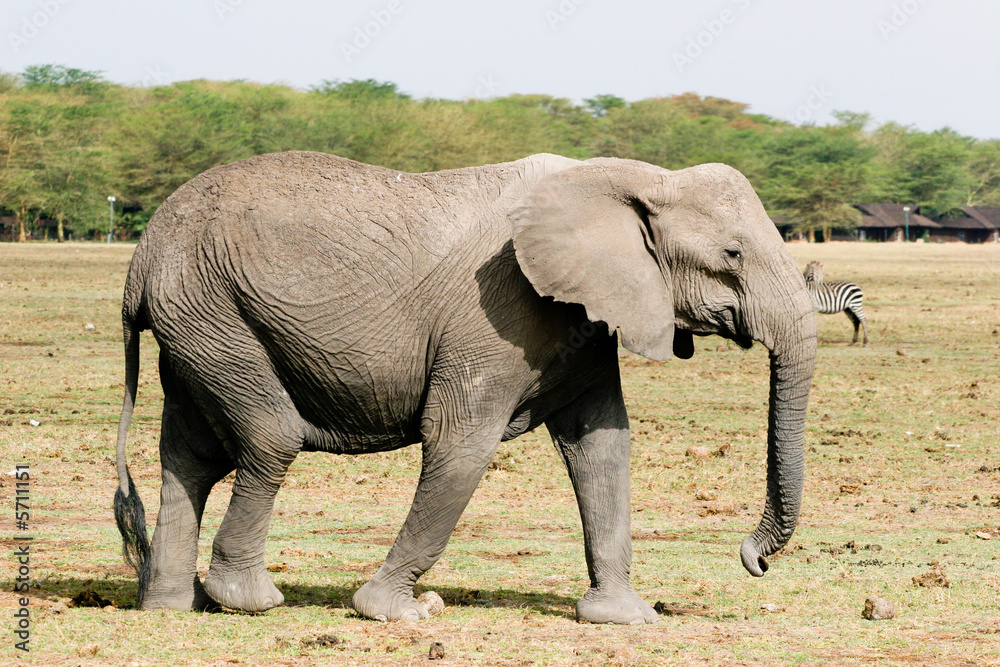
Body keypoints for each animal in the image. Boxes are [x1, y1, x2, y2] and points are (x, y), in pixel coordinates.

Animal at [113, 151, 817, 624]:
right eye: (732, 255)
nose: (754, 560)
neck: (632, 179)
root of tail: (138, 264)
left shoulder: (586, 318)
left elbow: (603, 448)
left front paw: (626, 618)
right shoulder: (500, 311)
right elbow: (460, 446)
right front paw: (397, 613)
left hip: (197, 321)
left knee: (190, 456)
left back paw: (172, 606)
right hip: (214, 311)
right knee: (269, 438)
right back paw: (248, 602)